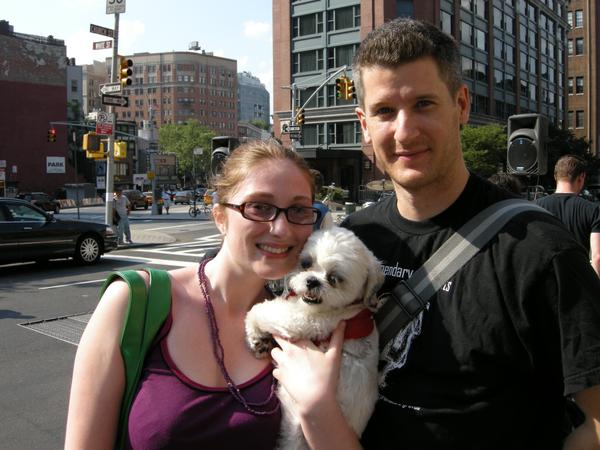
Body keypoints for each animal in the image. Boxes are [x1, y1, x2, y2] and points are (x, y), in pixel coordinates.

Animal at [245, 226, 384, 450]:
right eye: (306, 264)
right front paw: (262, 342)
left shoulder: (309, 321)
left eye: (334, 278)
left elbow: (264, 310)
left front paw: (254, 331)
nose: (312, 280)